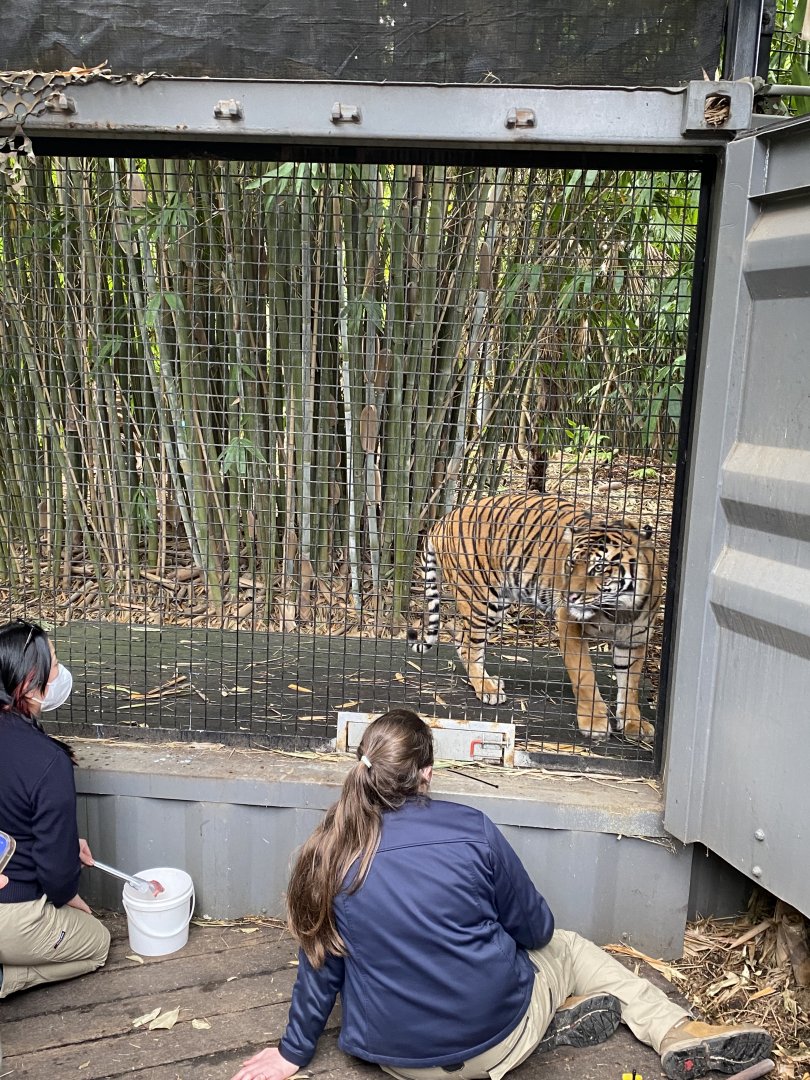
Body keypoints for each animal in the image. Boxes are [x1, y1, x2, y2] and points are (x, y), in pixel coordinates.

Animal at [407, 492, 662, 739]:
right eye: (571, 564)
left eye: (599, 568)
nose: (568, 596)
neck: (618, 609)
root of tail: (444, 519)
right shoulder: (569, 625)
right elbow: (585, 676)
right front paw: (594, 723)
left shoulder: (635, 638)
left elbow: (630, 683)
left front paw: (633, 723)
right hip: (482, 600)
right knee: (468, 645)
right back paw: (487, 689)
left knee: (463, 641)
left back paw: (490, 681)